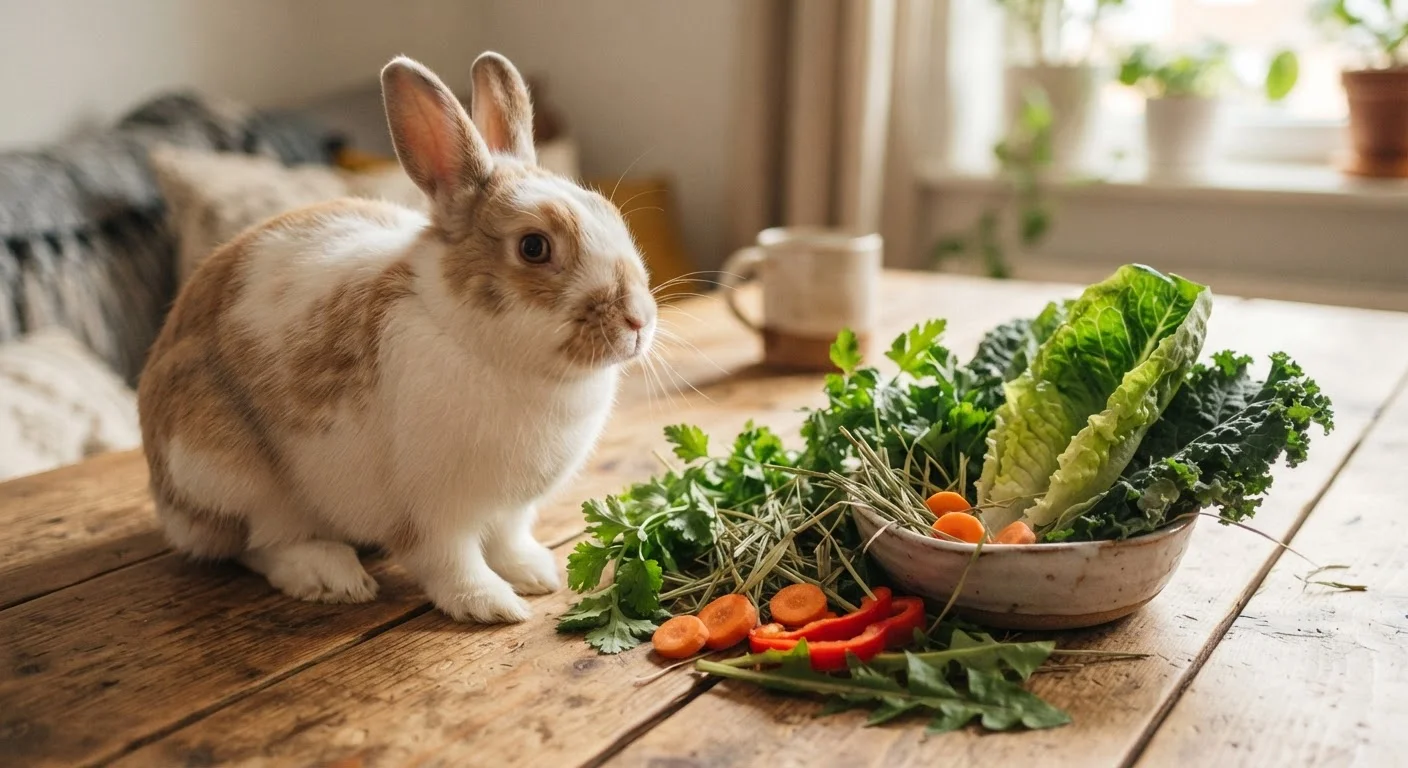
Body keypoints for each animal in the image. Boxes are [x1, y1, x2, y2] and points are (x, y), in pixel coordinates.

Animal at [137, 53, 657, 623]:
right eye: (534, 247)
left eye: (610, 215)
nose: (638, 319)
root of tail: (166, 498)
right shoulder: (430, 510)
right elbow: (451, 561)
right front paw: (492, 605)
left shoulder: (510, 508)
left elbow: (506, 540)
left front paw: (535, 574)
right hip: (224, 470)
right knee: (259, 543)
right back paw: (332, 576)